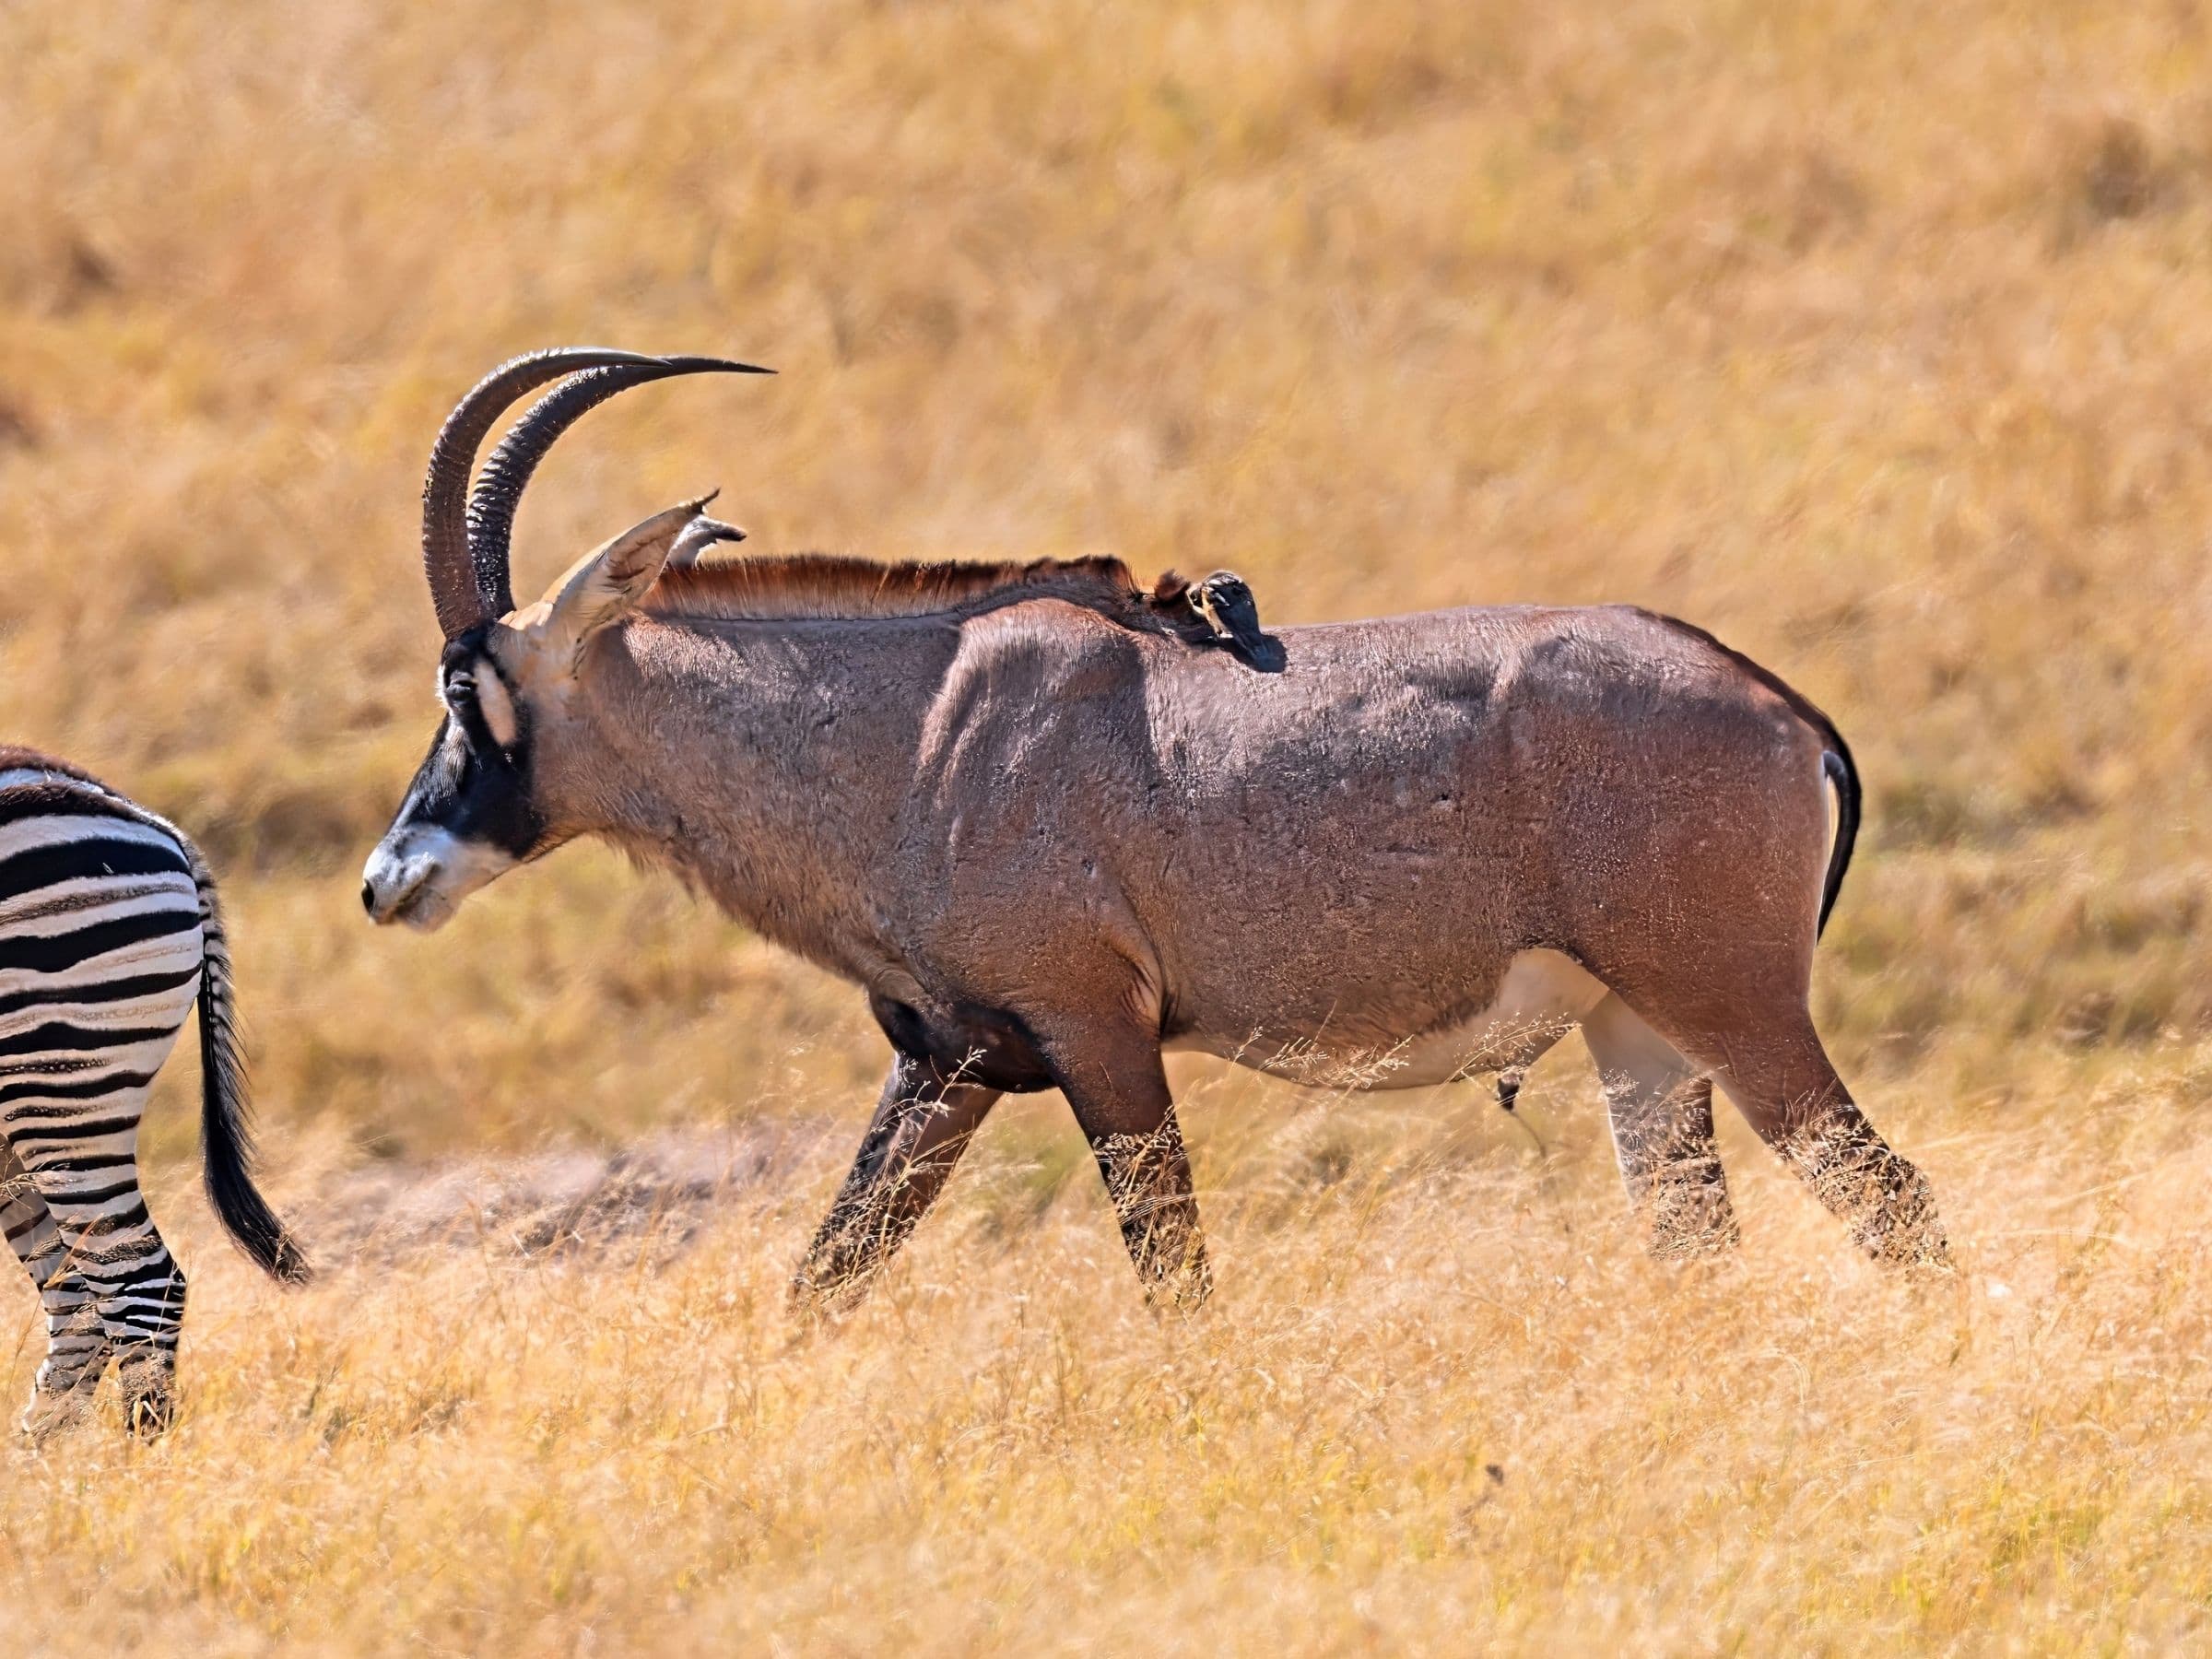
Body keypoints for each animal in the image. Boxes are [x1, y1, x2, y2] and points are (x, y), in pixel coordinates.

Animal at [363, 347, 1946, 1309]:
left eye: (468, 687)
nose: (390, 879)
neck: (917, 727)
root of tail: (1783, 710)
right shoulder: (953, 1062)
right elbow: (828, 1274)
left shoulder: (1098, 1037)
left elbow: (1174, 1273)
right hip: (1640, 1039)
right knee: (1697, 1243)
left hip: (1733, 1007)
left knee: (1894, 1201)